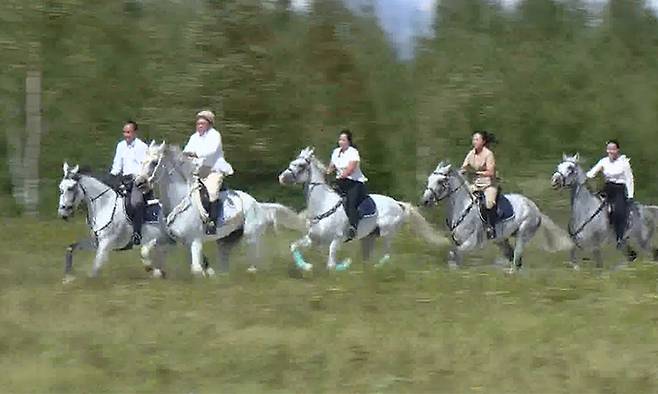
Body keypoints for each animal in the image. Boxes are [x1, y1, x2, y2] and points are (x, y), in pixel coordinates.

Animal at [136, 142, 304, 278]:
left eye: (154, 162)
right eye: (142, 161)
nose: (139, 183)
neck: (178, 200)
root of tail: (258, 204)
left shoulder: (195, 241)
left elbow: (196, 270)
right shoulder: (170, 239)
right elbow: (145, 250)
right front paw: (151, 268)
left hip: (250, 236)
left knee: (253, 261)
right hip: (226, 241)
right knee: (225, 263)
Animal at [274, 146, 444, 272]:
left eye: (301, 165)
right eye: (292, 162)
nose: (281, 178)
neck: (322, 205)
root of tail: (398, 204)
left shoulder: (337, 239)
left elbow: (331, 264)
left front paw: (344, 265)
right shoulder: (313, 239)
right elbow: (294, 246)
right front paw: (306, 266)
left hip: (387, 234)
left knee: (386, 255)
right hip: (368, 237)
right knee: (368, 258)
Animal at [420, 162, 568, 272]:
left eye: (440, 181)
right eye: (429, 179)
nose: (425, 201)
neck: (462, 207)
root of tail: (535, 208)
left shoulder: (470, 243)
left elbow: (455, 254)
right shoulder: (458, 242)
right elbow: (454, 256)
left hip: (523, 235)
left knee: (516, 259)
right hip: (501, 241)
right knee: (513, 258)